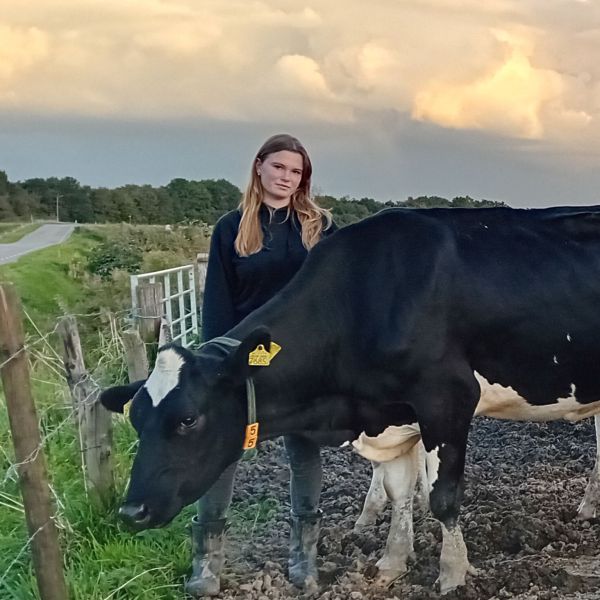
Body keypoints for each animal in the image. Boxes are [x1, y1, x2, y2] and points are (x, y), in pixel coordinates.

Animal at [103, 207, 600, 596]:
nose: (130, 512)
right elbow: (400, 492)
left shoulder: (448, 397)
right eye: (136, 420)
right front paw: (392, 562)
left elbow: (443, 497)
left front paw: (453, 574)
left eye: (188, 419)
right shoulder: (392, 415)